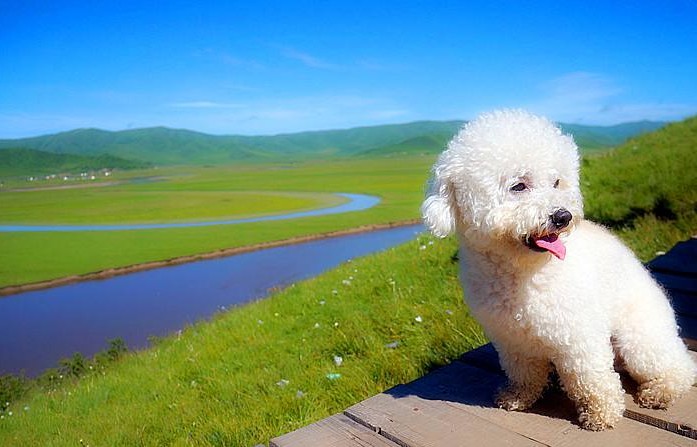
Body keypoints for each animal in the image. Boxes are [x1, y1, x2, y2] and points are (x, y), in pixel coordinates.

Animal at [422, 108, 692, 430]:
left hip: (638, 340)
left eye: (556, 182)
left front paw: (601, 413)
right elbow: (524, 372)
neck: (524, 274)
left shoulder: (579, 333)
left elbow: (590, 378)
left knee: (680, 366)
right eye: (518, 186)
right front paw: (518, 396)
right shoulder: (513, 339)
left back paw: (661, 390)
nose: (563, 216)